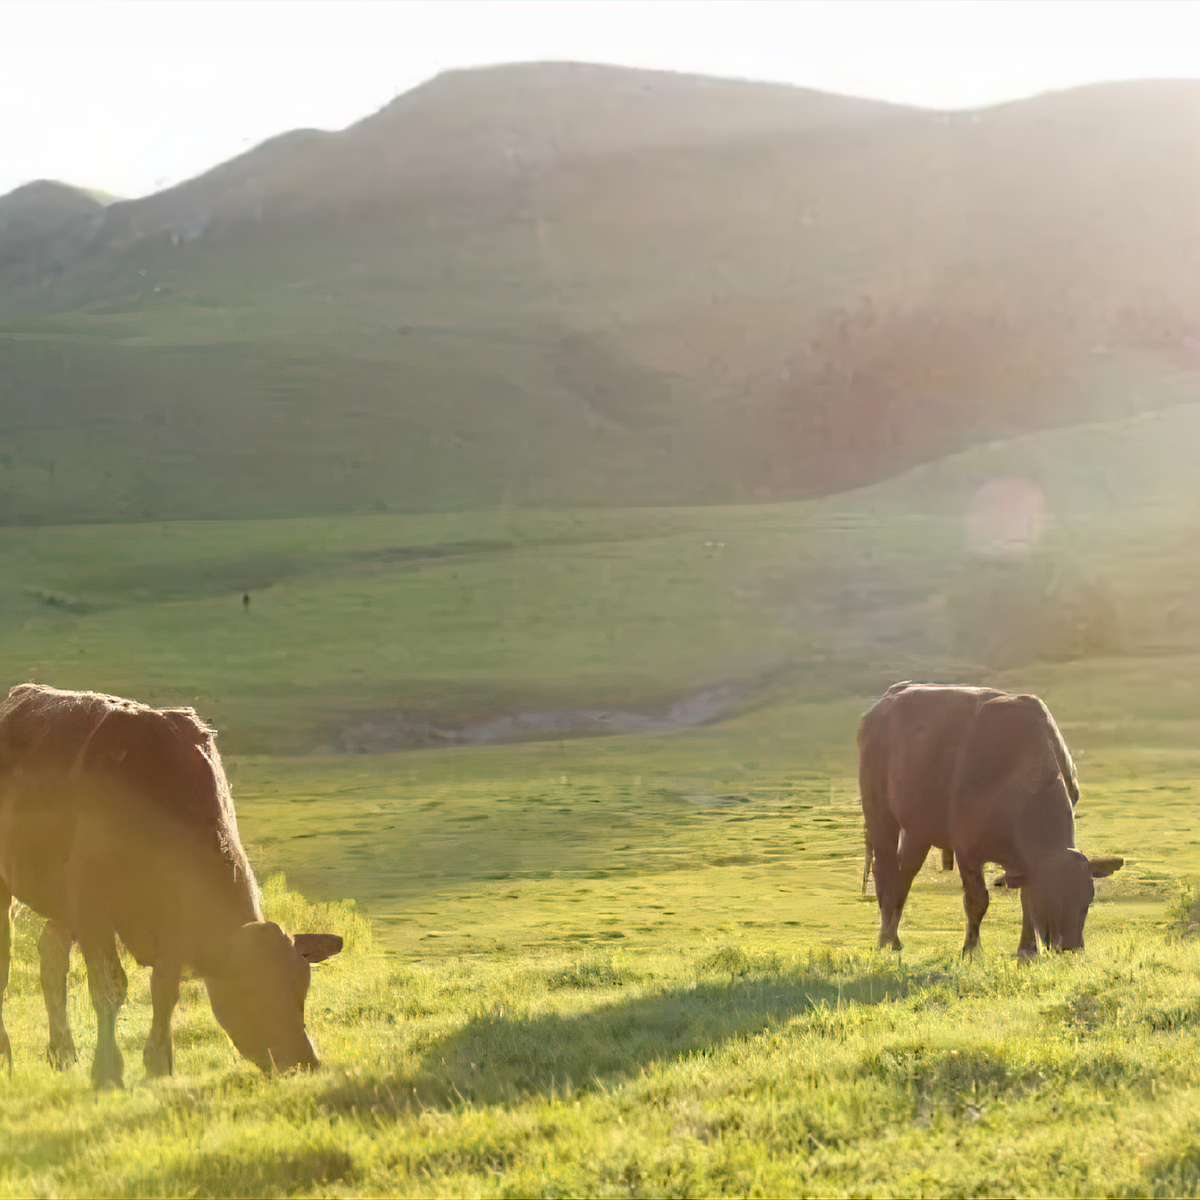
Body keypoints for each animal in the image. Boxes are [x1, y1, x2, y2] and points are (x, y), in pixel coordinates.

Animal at [0, 686, 343, 1089]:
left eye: (301, 990)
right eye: (253, 990)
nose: (306, 1062)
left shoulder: (173, 921)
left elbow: (165, 990)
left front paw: (158, 1065)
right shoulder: (91, 906)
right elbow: (109, 988)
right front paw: (107, 1072)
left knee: (51, 957)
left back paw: (62, 1052)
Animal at [859, 686, 1118, 955]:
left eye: (1087, 899)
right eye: (1050, 897)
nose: (1070, 946)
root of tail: (887, 699)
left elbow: (1025, 899)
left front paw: (1027, 951)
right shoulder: (966, 850)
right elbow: (977, 901)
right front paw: (971, 951)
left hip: (917, 831)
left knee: (904, 873)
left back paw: (894, 937)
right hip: (880, 817)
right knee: (884, 871)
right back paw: (886, 938)